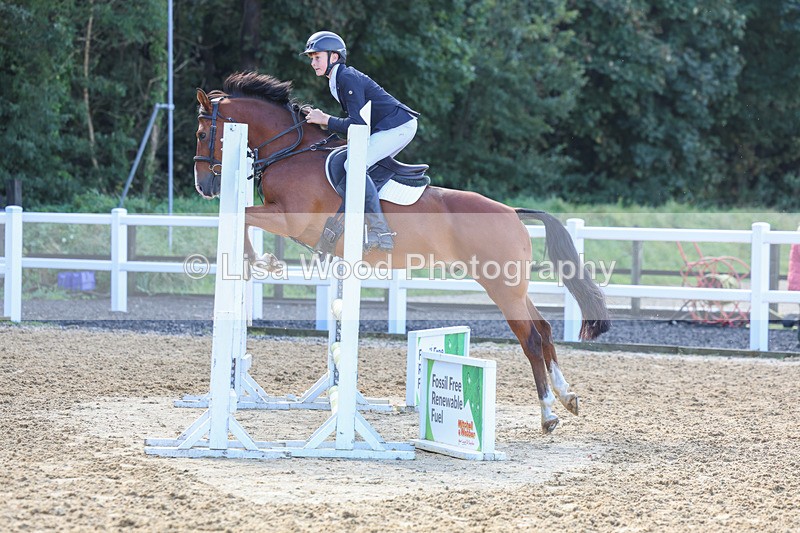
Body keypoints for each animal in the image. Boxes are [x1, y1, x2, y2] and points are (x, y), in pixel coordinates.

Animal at [193, 71, 610, 434]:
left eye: (201, 133)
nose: (203, 186)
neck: (293, 152)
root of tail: (511, 211)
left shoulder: (289, 220)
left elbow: (242, 215)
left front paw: (261, 262)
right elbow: (242, 217)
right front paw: (260, 261)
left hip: (501, 288)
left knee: (532, 340)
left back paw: (548, 414)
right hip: (511, 287)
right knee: (544, 329)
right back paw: (568, 398)